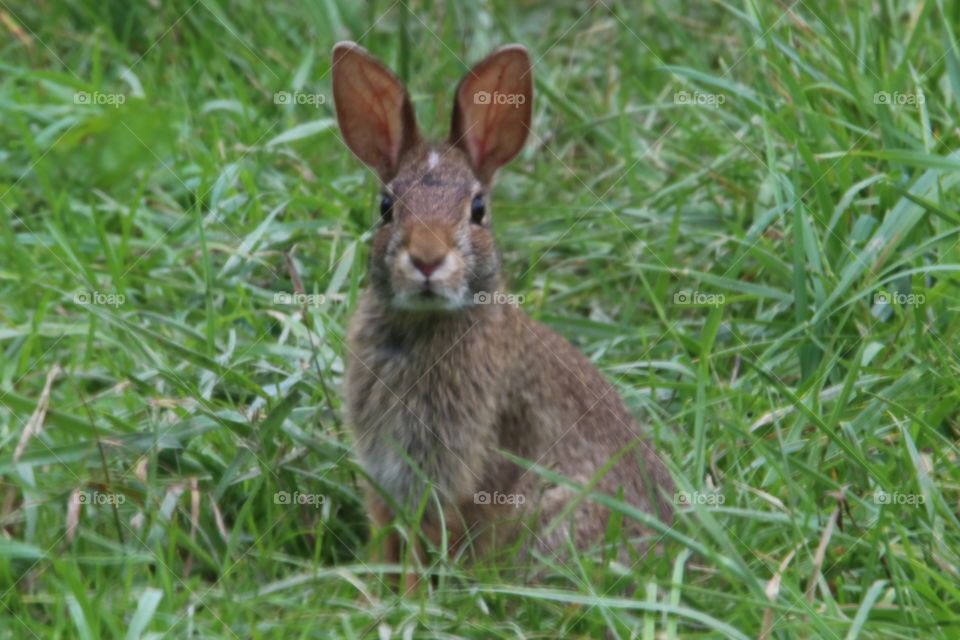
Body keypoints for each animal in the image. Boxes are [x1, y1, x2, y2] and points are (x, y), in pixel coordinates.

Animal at [332, 41, 673, 588]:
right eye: (386, 207)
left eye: (477, 210)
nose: (427, 259)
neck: (424, 324)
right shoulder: (386, 477)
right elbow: (390, 539)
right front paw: (374, 595)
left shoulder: (455, 471)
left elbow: (426, 543)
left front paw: (408, 596)